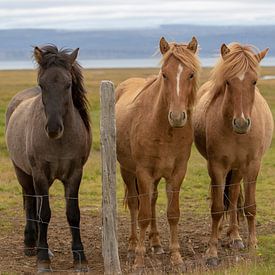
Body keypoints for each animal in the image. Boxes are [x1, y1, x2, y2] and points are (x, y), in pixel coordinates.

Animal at [5, 45, 91, 274]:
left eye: (68, 84)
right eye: (42, 84)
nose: (53, 128)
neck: (59, 143)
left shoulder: (74, 175)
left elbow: (73, 214)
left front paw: (80, 257)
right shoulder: (40, 175)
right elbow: (44, 214)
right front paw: (43, 259)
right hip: (23, 173)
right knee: (30, 204)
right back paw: (30, 244)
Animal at [116, 37, 201, 270]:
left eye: (191, 74)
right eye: (164, 74)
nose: (177, 116)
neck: (164, 130)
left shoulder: (177, 173)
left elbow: (173, 214)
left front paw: (176, 257)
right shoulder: (143, 173)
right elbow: (143, 215)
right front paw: (139, 259)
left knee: (152, 200)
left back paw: (155, 243)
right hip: (127, 171)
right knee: (135, 204)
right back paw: (132, 245)